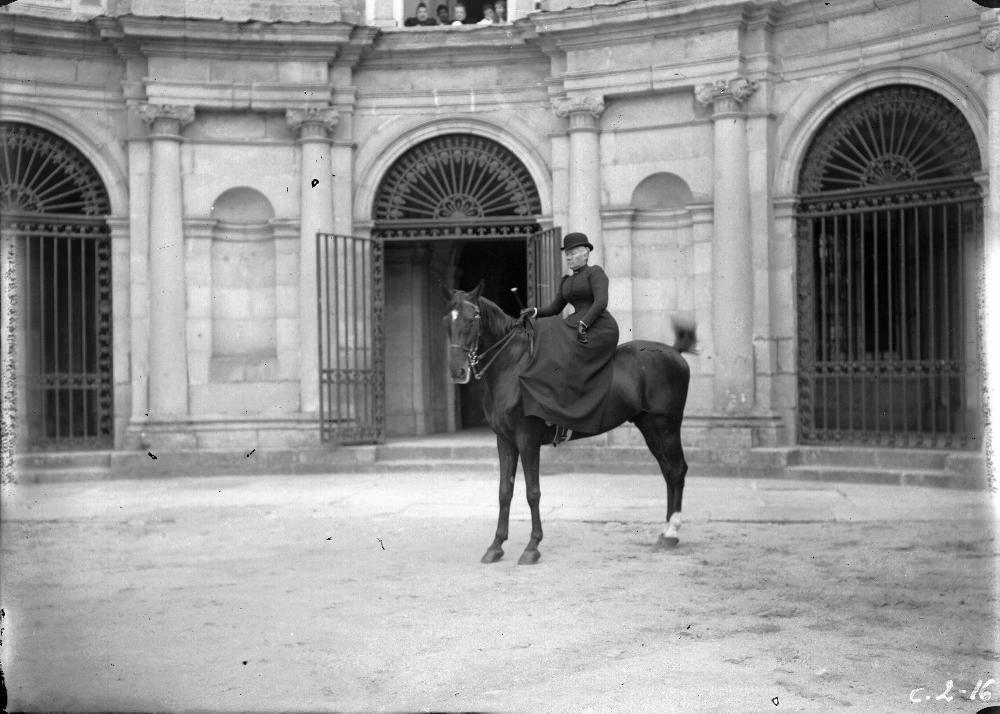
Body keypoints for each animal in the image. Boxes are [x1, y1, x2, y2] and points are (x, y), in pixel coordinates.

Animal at [446, 280, 696, 564]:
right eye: (446, 321)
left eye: (472, 318)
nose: (457, 372)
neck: (511, 368)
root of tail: (674, 352)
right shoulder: (505, 441)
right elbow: (504, 492)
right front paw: (496, 545)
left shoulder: (527, 441)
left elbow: (532, 492)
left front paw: (532, 546)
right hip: (650, 426)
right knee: (668, 471)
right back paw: (666, 531)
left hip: (666, 426)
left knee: (677, 470)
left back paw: (672, 531)